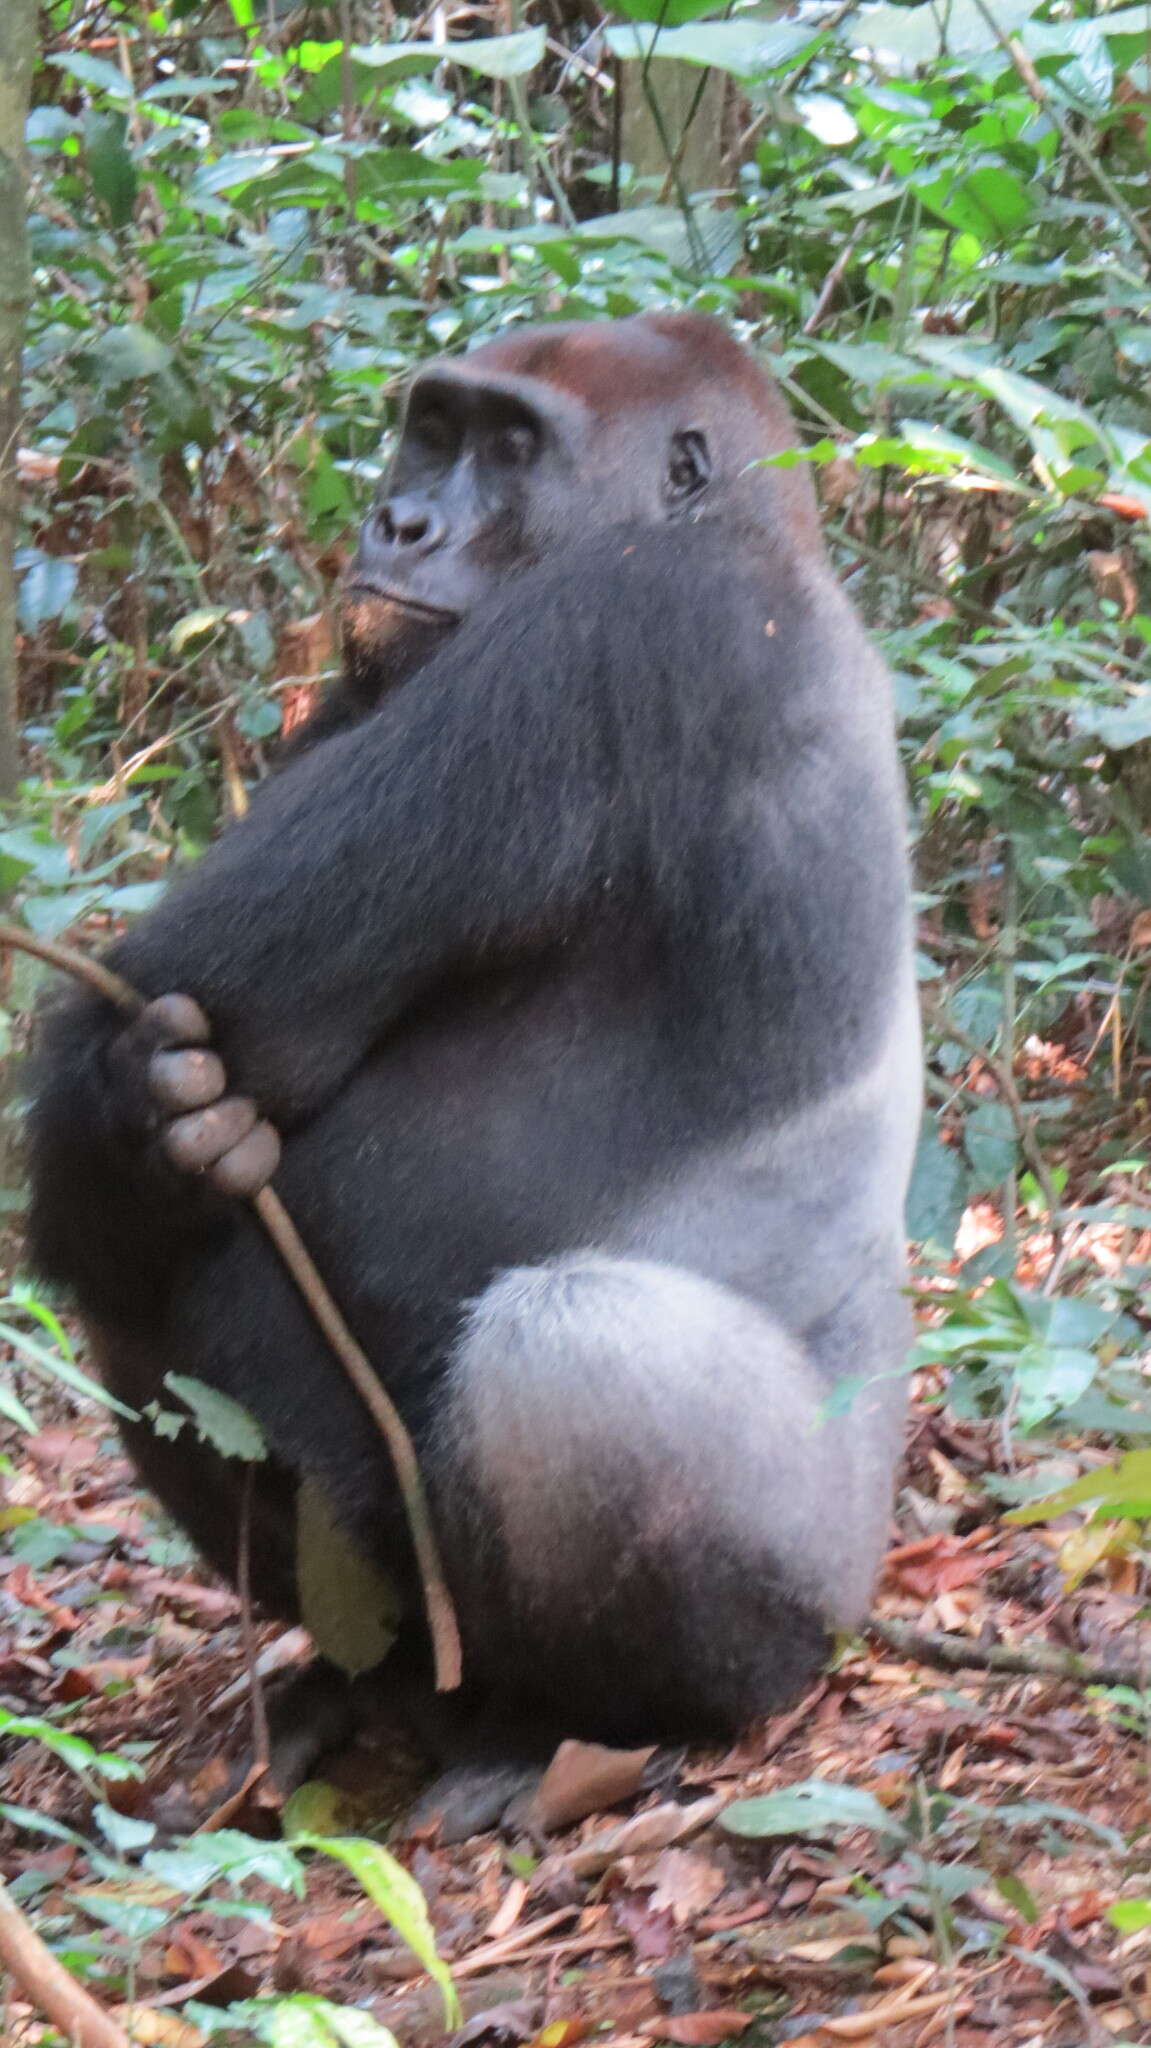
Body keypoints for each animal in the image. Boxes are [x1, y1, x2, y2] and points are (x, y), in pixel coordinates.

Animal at [26, 311, 917, 1835]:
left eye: (508, 447)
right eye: (430, 429)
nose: (397, 519)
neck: (764, 538)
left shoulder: (621, 619)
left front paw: (135, 1102)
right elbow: (125, 1172)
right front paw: (152, 1125)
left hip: (813, 1602)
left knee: (569, 1355)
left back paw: (602, 1725)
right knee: (136, 1287)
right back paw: (362, 1690)